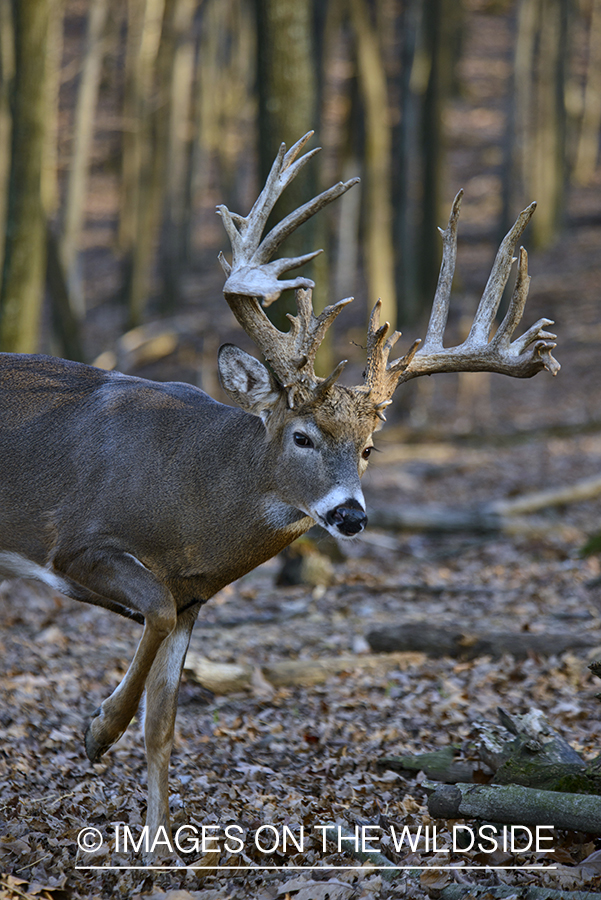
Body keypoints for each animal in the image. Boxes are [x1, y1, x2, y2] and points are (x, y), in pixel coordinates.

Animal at [0, 134, 556, 852]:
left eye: (369, 448)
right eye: (302, 436)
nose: (349, 514)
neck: (191, 500)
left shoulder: (193, 598)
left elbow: (163, 725)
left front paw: (158, 844)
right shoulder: (76, 542)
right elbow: (149, 617)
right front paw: (97, 731)